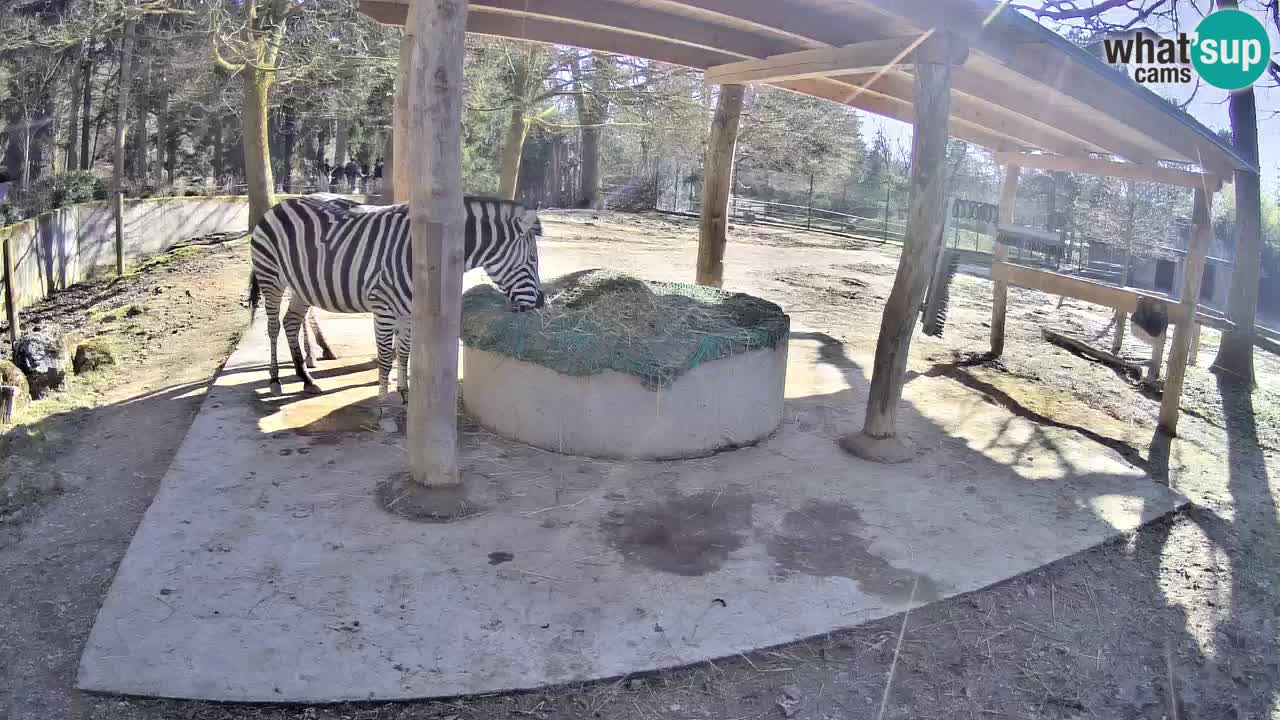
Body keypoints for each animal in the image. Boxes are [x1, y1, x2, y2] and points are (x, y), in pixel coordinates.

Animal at [248, 193, 545, 410]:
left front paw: (404, 392)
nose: (541, 302)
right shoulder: (384, 308)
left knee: (290, 323)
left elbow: (403, 352)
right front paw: (382, 403)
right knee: (273, 327)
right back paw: (275, 380)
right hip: (271, 277)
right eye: (532, 260)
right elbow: (384, 357)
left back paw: (306, 379)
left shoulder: (408, 310)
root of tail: (281, 204)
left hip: (302, 287)